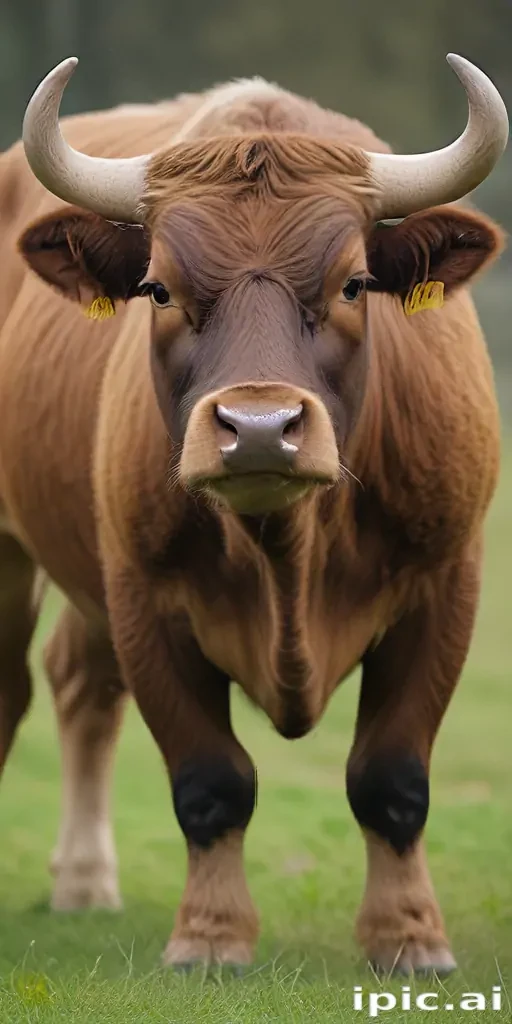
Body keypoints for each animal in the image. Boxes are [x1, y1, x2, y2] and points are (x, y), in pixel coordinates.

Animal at [0, 53, 507, 975]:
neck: (287, 550)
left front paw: (410, 938)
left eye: (355, 284)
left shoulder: (446, 585)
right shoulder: (145, 596)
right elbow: (211, 778)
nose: (261, 428)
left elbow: (392, 777)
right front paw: (209, 937)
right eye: (158, 289)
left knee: (80, 682)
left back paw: (84, 884)